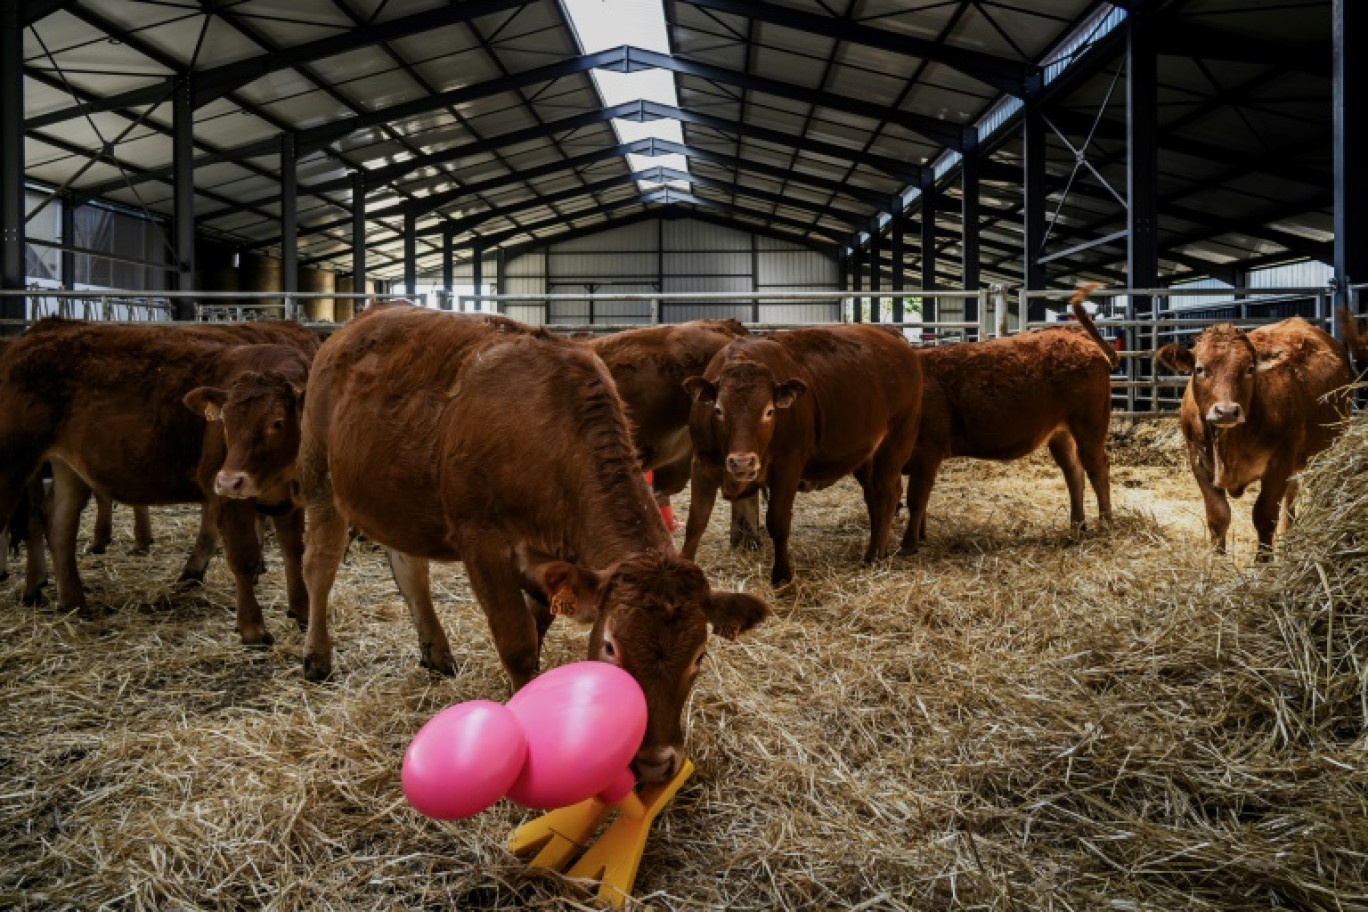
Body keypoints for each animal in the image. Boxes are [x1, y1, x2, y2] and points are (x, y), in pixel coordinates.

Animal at [0, 319, 313, 642]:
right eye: (224, 422)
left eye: (277, 422)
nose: (229, 480)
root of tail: (38, 331)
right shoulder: (224, 494)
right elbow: (243, 557)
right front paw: (253, 630)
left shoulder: (291, 497)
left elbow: (295, 551)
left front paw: (303, 615)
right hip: (12, 461)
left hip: (68, 469)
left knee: (59, 525)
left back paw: (74, 602)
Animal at [299, 306, 771, 787]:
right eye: (610, 647)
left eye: (699, 656)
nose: (655, 762)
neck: (551, 438)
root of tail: (363, 317)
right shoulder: (482, 541)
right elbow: (518, 641)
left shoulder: (559, 561)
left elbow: (539, 624)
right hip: (319, 472)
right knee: (318, 566)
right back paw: (317, 656)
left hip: (401, 498)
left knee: (411, 571)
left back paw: (436, 651)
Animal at [684, 324, 930, 587]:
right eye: (718, 410)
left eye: (769, 411)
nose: (742, 463)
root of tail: (892, 336)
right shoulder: (701, 463)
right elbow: (695, 522)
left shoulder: (788, 465)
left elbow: (778, 521)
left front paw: (782, 576)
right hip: (867, 456)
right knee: (876, 497)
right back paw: (879, 551)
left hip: (896, 440)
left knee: (886, 494)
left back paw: (874, 557)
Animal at [902, 281, 1116, 549]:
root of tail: (1075, 336)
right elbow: (920, 501)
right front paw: (919, 537)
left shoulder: (926, 450)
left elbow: (916, 499)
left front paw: (908, 546)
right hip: (1061, 434)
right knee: (1074, 471)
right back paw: (1077, 525)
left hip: (1089, 427)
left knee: (1097, 468)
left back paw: (1105, 524)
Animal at [1154, 314, 1357, 557]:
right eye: (1200, 369)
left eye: (1250, 368)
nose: (1226, 411)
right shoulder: (1198, 461)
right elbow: (1218, 516)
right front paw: (1217, 559)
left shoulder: (1279, 463)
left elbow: (1264, 517)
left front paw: (1263, 561)